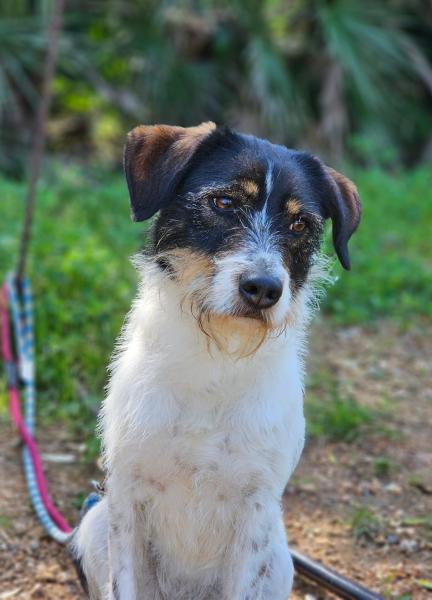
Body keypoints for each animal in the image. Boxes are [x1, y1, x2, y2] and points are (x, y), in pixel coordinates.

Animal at [70, 122, 361, 599]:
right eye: (224, 202)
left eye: (300, 223)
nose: (264, 289)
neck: (217, 357)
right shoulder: (126, 493)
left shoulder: (256, 510)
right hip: (96, 522)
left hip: (279, 560)